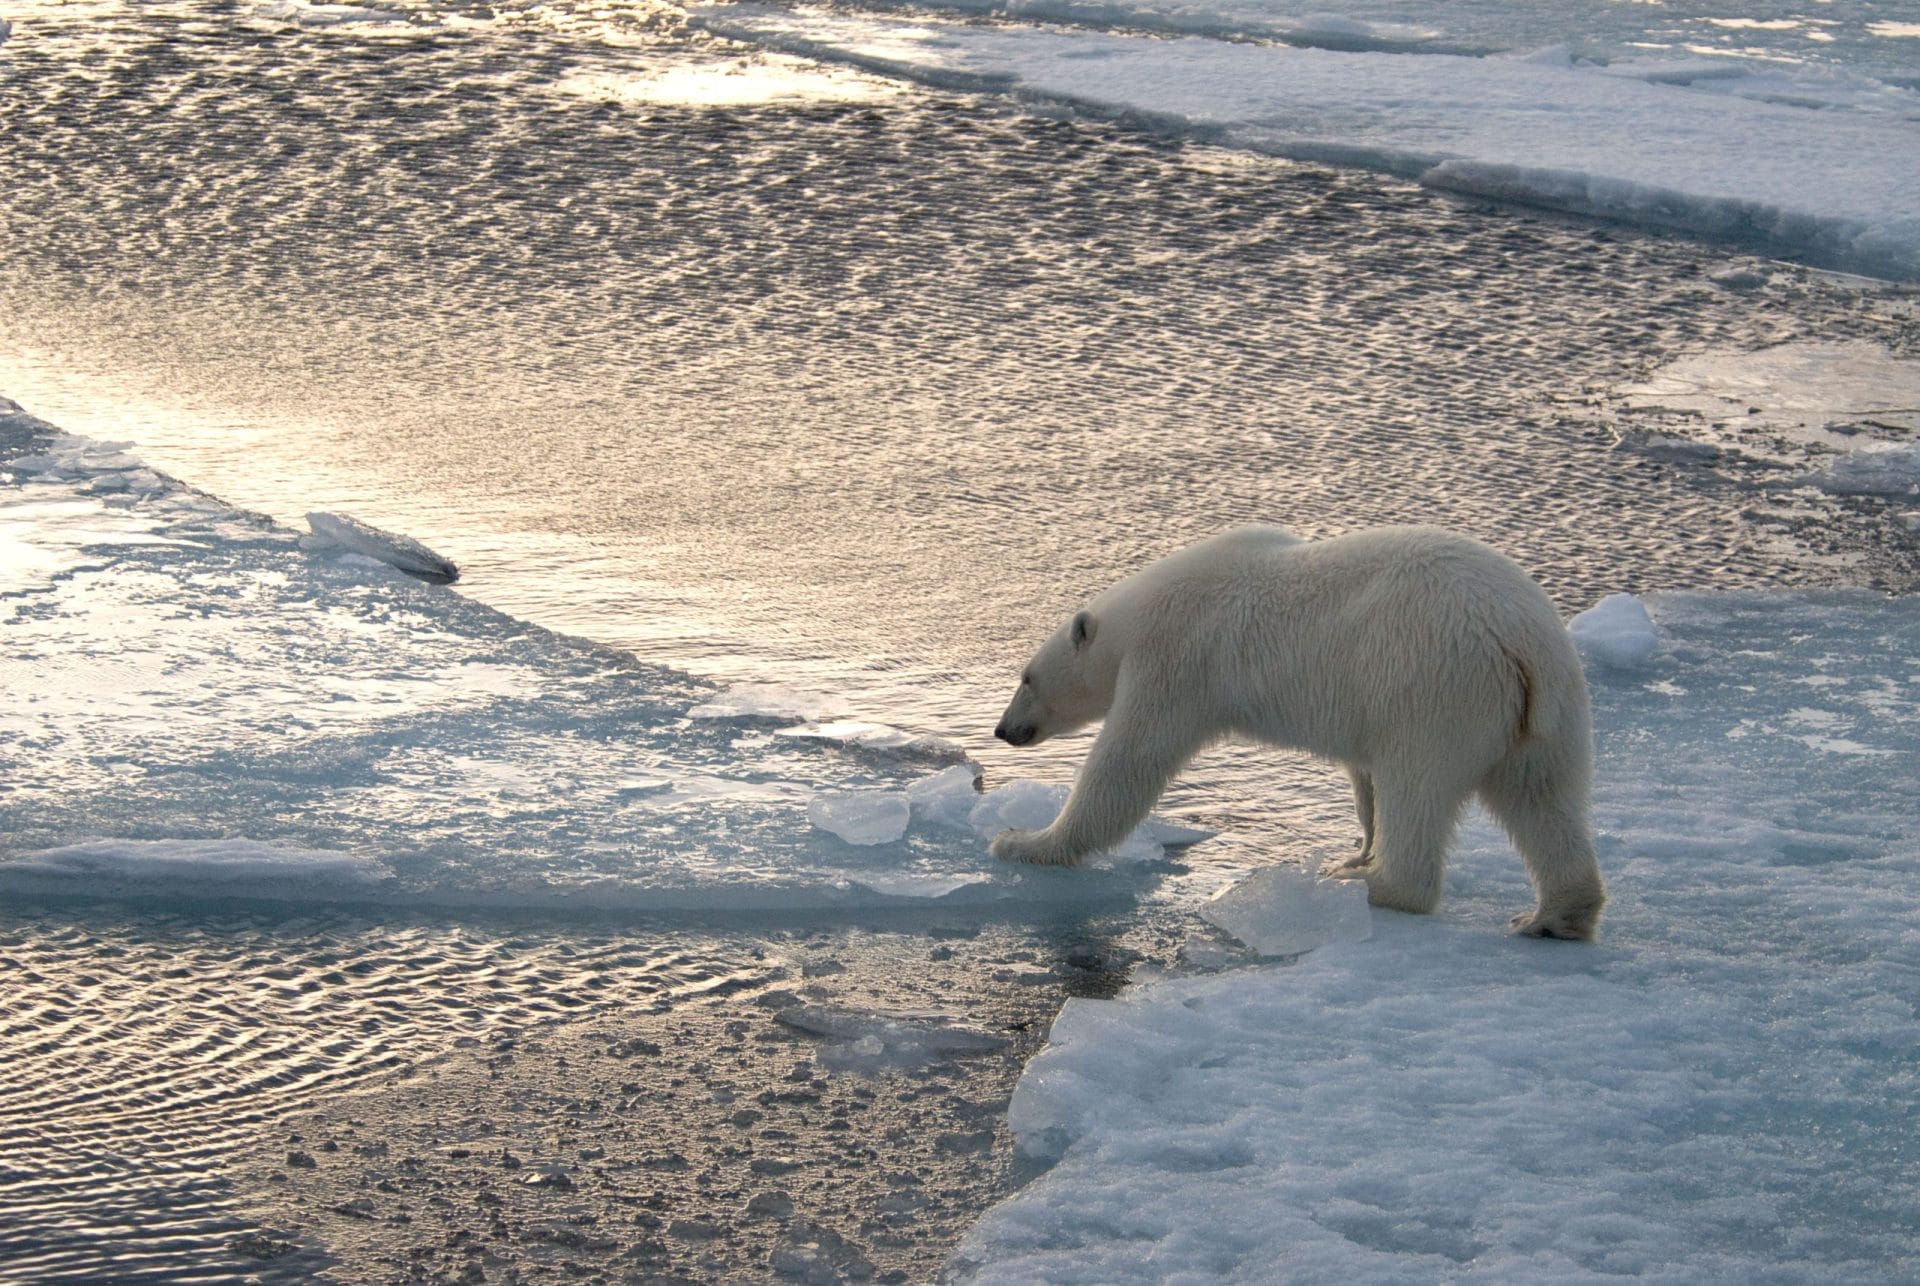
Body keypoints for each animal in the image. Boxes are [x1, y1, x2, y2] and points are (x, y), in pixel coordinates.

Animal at [990, 529, 1605, 940]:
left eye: (1025, 678)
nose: (1002, 729)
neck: (1138, 615)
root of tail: (1518, 641)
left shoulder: (1176, 660)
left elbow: (1128, 763)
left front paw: (1023, 841)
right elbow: (1364, 776)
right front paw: (1358, 846)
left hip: (1436, 689)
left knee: (1418, 789)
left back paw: (1371, 886)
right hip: (1548, 712)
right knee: (1544, 800)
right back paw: (1552, 916)